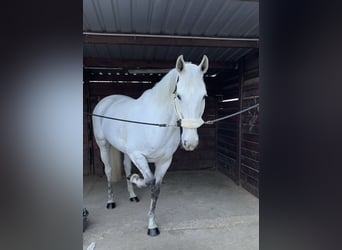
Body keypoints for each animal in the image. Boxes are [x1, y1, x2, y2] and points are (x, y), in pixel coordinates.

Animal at [92, 54, 208, 236]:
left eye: (203, 96)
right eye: (179, 96)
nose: (190, 142)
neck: (155, 123)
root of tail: (106, 101)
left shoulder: (164, 161)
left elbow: (156, 189)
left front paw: (152, 225)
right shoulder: (138, 155)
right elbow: (148, 180)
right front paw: (136, 179)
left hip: (126, 152)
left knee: (126, 167)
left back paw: (132, 195)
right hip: (103, 145)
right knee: (108, 170)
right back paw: (111, 201)